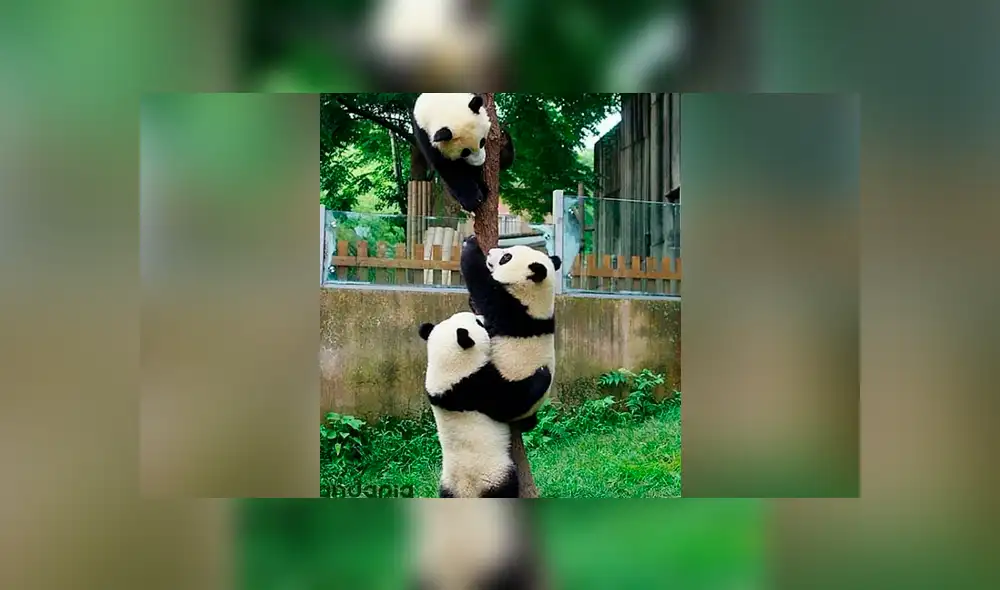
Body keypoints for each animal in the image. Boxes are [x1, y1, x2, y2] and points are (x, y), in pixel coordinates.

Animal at [418, 311, 552, 498]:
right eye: (478, 323)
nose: (483, 318)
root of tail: (468, 492)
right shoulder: (475, 387)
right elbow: (512, 402)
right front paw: (542, 372)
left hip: (447, 485)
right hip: (495, 475)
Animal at [460, 236, 561, 431]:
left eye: (506, 257)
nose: (490, 252)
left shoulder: (509, 309)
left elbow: (481, 285)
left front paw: (470, 245)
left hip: (510, 387)